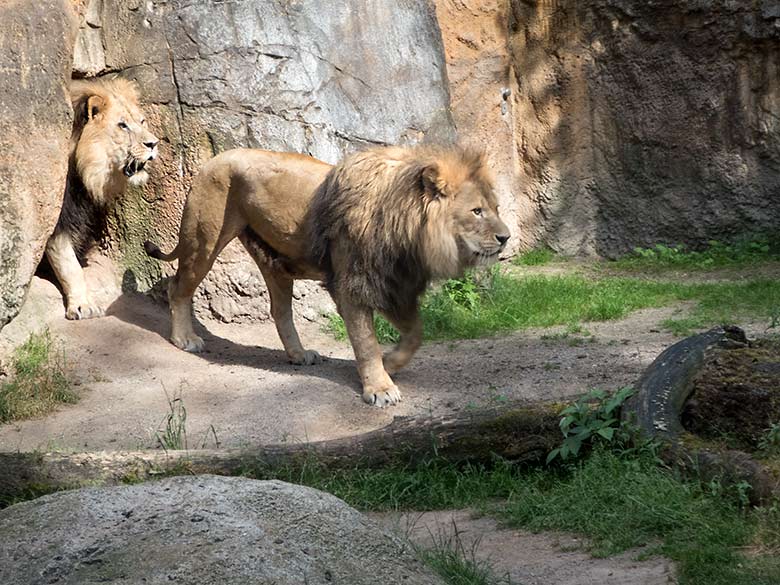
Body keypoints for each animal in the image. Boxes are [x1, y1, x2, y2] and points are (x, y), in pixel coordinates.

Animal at [43, 77, 158, 320]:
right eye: (122, 125)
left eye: (142, 121)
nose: (154, 144)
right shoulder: (56, 217)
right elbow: (70, 265)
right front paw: (82, 305)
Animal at [145, 145, 512, 406]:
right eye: (477, 211)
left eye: (495, 208)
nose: (506, 237)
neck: (408, 233)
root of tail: (214, 158)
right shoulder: (352, 284)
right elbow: (365, 342)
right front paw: (379, 388)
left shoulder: (396, 286)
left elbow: (416, 334)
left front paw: (391, 362)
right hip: (204, 240)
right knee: (178, 287)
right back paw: (184, 339)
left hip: (275, 262)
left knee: (279, 311)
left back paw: (298, 355)